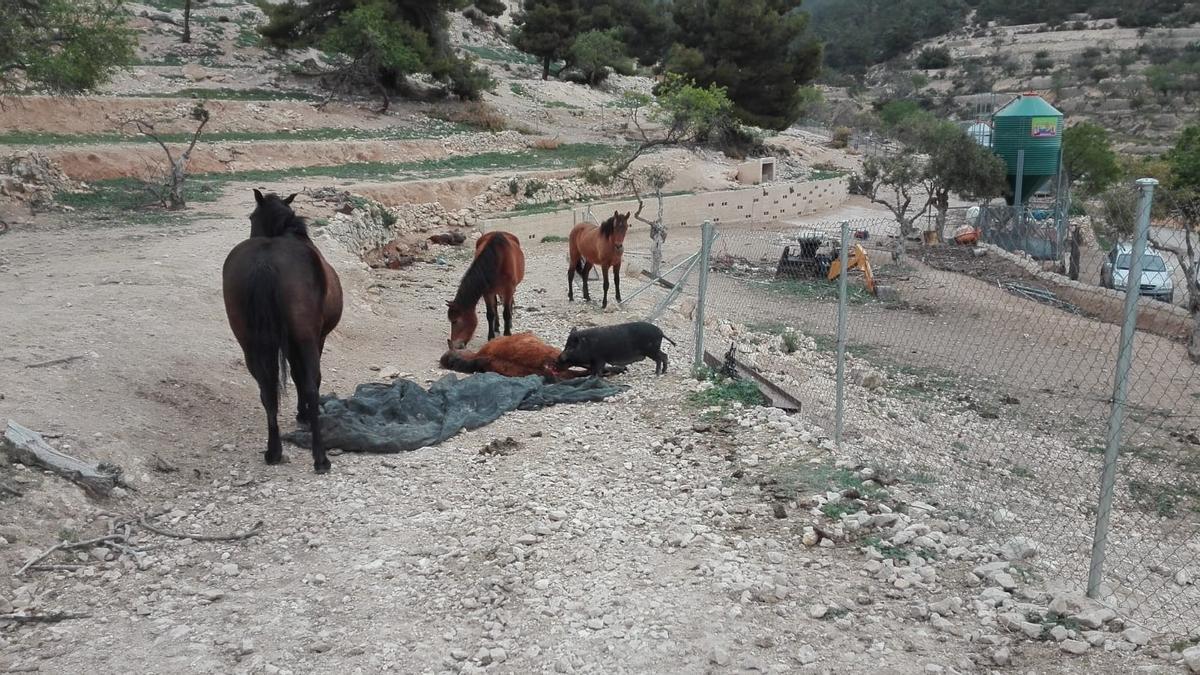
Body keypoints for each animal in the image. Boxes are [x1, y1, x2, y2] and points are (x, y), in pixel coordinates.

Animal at [222, 189, 343, 473]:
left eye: (252, 217)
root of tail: (265, 262)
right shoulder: (315, 338)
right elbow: (304, 379)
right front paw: (303, 414)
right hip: (305, 338)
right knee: (310, 384)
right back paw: (320, 457)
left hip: (250, 343)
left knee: (267, 390)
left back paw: (273, 451)